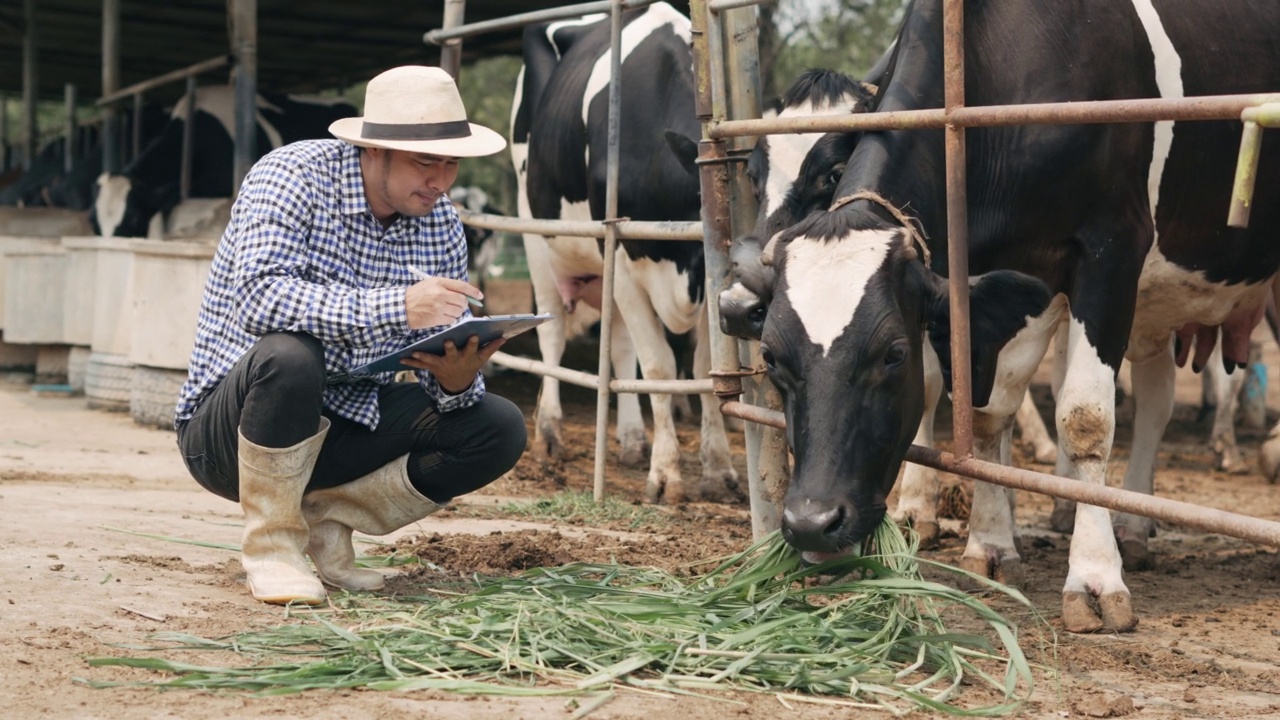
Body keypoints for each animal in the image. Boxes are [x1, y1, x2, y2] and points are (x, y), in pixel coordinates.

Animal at [512, 2, 742, 502]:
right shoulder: (620, 254)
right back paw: (550, 434)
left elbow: (703, 367)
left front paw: (717, 470)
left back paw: (633, 440)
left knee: (616, 347)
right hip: (537, 235)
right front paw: (667, 476)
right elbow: (658, 364)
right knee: (552, 334)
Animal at [742, 0, 1280, 630]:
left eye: (893, 352)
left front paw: (1094, 576)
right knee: (1155, 398)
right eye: (772, 356)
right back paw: (1131, 523)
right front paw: (992, 543)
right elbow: (986, 409)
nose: (810, 523)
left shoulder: (1111, 249)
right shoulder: (992, 278)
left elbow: (1086, 417)